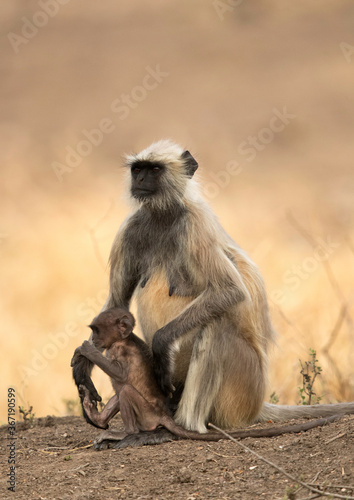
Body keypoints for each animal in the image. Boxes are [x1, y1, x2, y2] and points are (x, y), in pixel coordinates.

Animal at [71, 306, 340, 448]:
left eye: (97, 330)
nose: (95, 340)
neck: (121, 340)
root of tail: (161, 416)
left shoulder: (121, 351)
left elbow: (121, 374)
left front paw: (86, 351)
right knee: (120, 393)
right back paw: (96, 416)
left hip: (146, 416)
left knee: (125, 390)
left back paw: (125, 433)